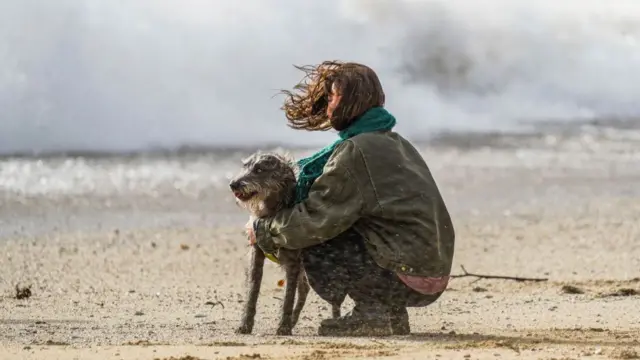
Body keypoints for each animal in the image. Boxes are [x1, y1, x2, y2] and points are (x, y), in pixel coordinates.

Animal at [228, 151, 342, 334]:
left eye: (259, 169)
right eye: (244, 167)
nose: (233, 184)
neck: (271, 213)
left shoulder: (293, 262)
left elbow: (288, 296)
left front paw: (283, 327)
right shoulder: (256, 254)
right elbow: (252, 290)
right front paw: (245, 324)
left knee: (333, 294)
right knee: (304, 289)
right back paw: (295, 320)